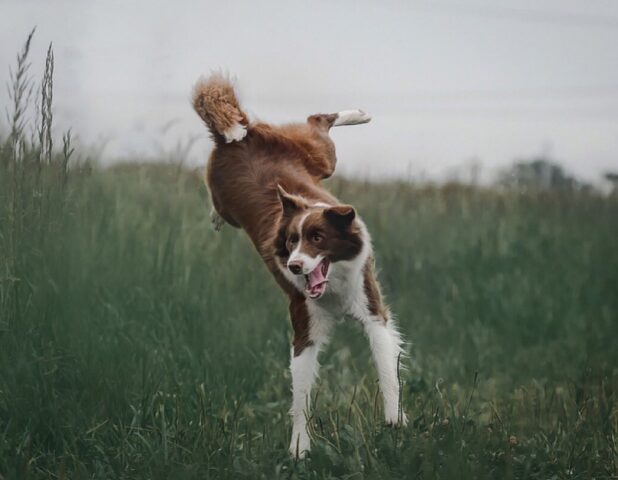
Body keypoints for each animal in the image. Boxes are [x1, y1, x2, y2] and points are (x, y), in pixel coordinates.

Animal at [190, 74, 406, 458]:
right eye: (291, 240)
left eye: (317, 238)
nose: (293, 266)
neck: (334, 287)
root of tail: (238, 136)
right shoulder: (304, 325)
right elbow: (301, 395)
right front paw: (299, 449)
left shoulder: (372, 310)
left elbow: (387, 368)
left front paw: (395, 419)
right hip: (241, 190)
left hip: (320, 157)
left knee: (318, 122)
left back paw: (359, 114)